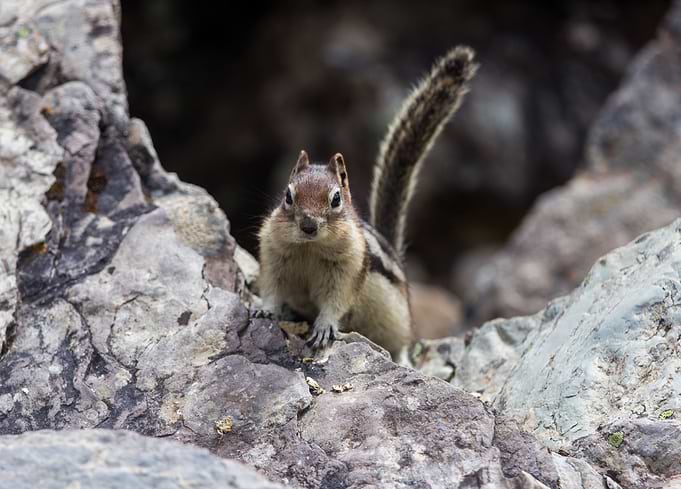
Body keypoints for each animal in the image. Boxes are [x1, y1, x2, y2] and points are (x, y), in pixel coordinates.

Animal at [257, 46, 478, 358]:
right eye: (288, 196)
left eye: (336, 199)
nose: (309, 226)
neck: (310, 248)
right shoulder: (274, 255)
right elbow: (272, 289)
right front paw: (266, 309)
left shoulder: (348, 269)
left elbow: (336, 301)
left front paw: (324, 327)